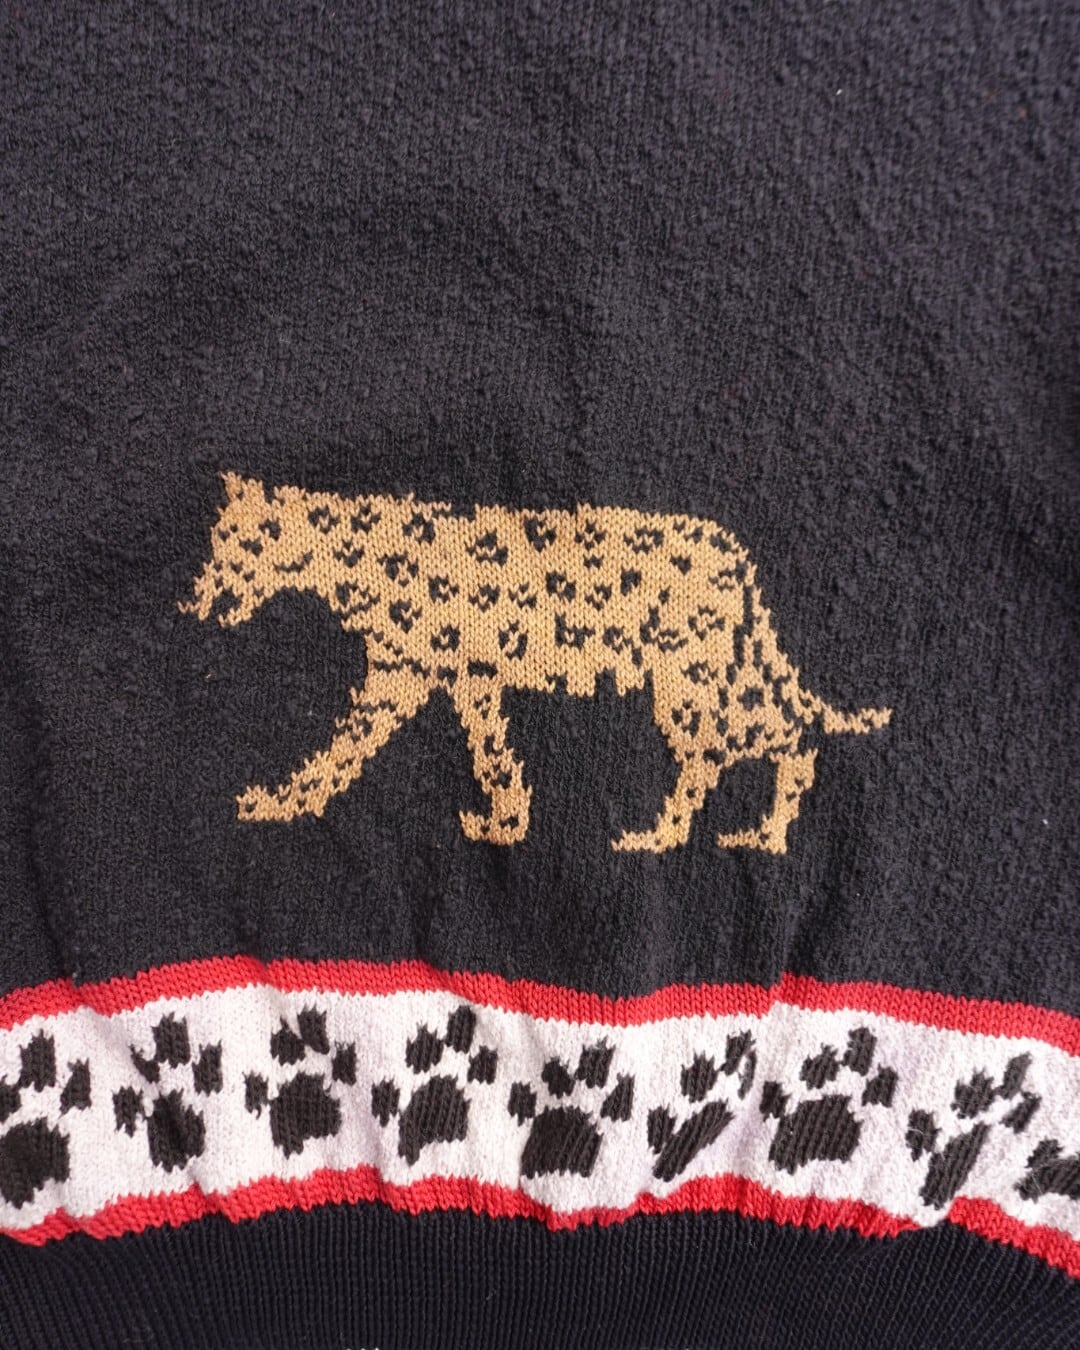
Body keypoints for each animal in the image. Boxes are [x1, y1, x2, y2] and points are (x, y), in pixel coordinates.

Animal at [177, 472, 891, 853]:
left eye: (240, 542)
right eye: (218, 538)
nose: (198, 599)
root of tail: (734, 550)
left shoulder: (432, 676)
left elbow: (378, 749)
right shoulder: (440, 678)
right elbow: (447, 750)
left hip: (694, 676)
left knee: (740, 746)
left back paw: (683, 836)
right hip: (713, 674)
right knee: (768, 739)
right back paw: (743, 835)